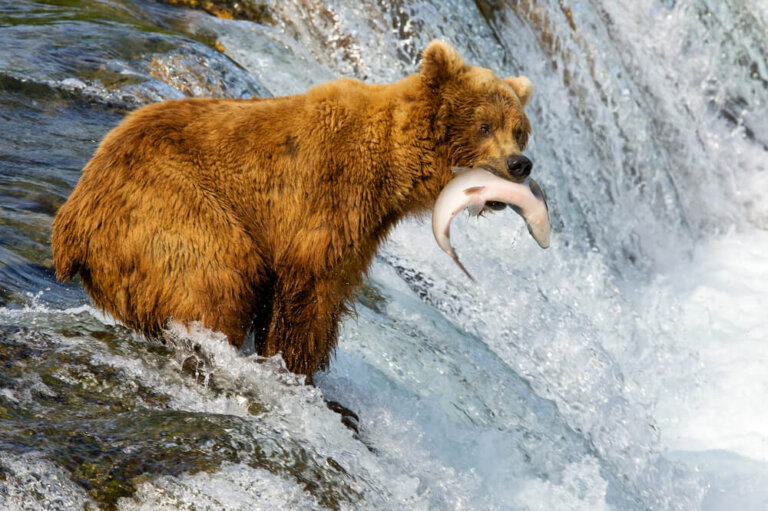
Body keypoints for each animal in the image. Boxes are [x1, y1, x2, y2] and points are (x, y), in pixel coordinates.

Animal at [51, 41, 534, 381]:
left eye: (519, 130)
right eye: (484, 125)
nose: (520, 164)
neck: (393, 166)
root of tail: (70, 223)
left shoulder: (364, 227)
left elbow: (332, 292)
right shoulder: (331, 194)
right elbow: (308, 289)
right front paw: (292, 365)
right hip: (169, 205)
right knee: (219, 275)